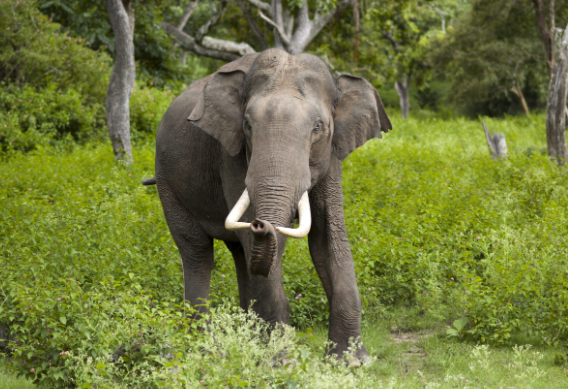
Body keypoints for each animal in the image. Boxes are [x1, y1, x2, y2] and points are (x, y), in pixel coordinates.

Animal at [149, 48, 392, 364]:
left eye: (318, 127)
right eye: (247, 125)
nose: (260, 223)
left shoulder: (332, 156)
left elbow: (328, 237)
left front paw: (351, 362)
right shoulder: (231, 153)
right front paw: (280, 362)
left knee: (240, 254)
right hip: (168, 183)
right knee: (198, 252)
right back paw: (205, 349)